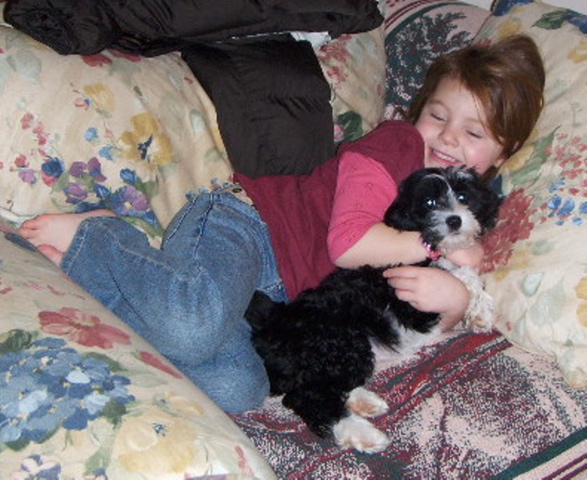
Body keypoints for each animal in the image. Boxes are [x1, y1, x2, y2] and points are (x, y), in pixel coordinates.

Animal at [243, 167, 500, 452]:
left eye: (464, 197)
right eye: (430, 203)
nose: (454, 220)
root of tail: (271, 323)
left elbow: (465, 272)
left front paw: (479, 312)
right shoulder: (412, 301)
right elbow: (459, 275)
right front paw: (479, 310)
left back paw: (365, 402)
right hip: (340, 343)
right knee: (309, 397)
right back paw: (363, 434)